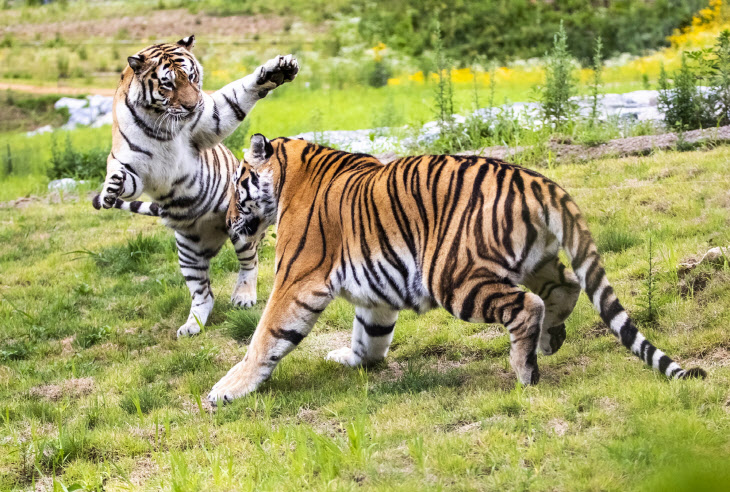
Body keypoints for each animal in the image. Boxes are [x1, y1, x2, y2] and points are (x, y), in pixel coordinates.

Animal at [91, 33, 298, 334]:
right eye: (167, 83)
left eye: (192, 76)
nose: (191, 106)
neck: (161, 122)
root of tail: (217, 234)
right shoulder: (131, 164)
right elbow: (123, 177)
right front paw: (111, 189)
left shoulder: (210, 121)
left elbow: (235, 96)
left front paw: (277, 70)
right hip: (187, 251)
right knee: (203, 293)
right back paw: (193, 324)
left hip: (241, 226)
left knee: (250, 263)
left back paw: (243, 297)